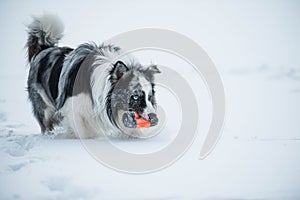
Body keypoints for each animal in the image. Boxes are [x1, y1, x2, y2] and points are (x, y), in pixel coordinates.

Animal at [27, 14, 161, 138]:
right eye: (135, 97)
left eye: (150, 97)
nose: (154, 118)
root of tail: (45, 49)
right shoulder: (73, 109)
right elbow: (82, 132)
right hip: (43, 106)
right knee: (46, 122)